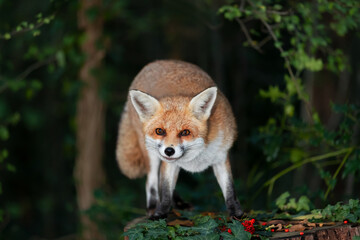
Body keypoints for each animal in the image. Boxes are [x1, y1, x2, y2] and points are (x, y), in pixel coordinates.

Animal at [116, 60, 243, 219]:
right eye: (159, 131)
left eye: (185, 132)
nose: (169, 151)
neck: (197, 156)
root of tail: (155, 63)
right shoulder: (167, 162)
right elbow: (165, 191)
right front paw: (160, 213)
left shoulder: (221, 157)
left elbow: (229, 188)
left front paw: (236, 212)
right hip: (151, 153)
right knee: (151, 180)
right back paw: (152, 207)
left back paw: (179, 203)